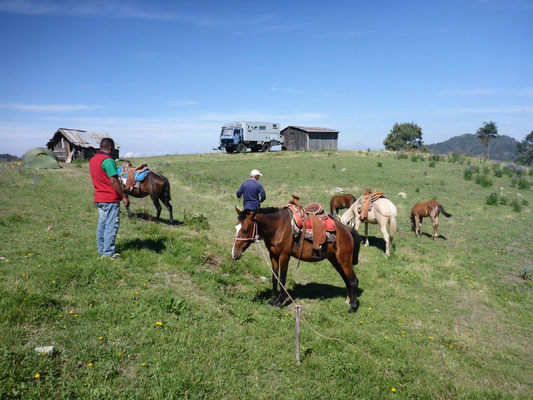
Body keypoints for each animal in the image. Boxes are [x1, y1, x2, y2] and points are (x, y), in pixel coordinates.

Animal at [233, 195, 362, 314]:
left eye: (245, 230)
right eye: (236, 228)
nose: (234, 254)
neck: (278, 227)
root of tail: (347, 230)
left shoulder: (284, 256)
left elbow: (282, 278)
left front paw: (280, 302)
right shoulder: (273, 255)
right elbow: (274, 278)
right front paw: (272, 300)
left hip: (344, 261)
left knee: (354, 281)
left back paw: (353, 308)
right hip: (335, 260)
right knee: (347, 280)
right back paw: (348, 301)